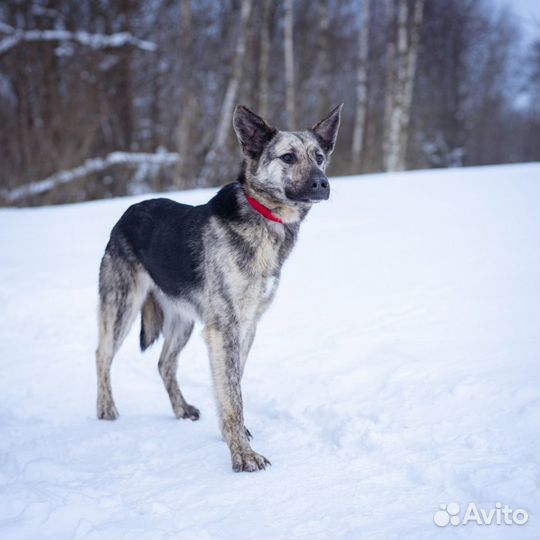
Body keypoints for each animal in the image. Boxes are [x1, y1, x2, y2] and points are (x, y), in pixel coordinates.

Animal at [96, 103, 342, 470]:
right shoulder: (224, 328)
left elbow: (232, 385)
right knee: (102, 355)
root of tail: (127, 213)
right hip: (121, 307)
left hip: (182, 320)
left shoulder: (246, 325)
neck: (265, 219)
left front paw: (235, 437)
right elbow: (232, 394)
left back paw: (181, 409)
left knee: (164, 363)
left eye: (320, 157)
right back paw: (106, 410)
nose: (322, 183)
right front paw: (242, 454)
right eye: (287, 157)